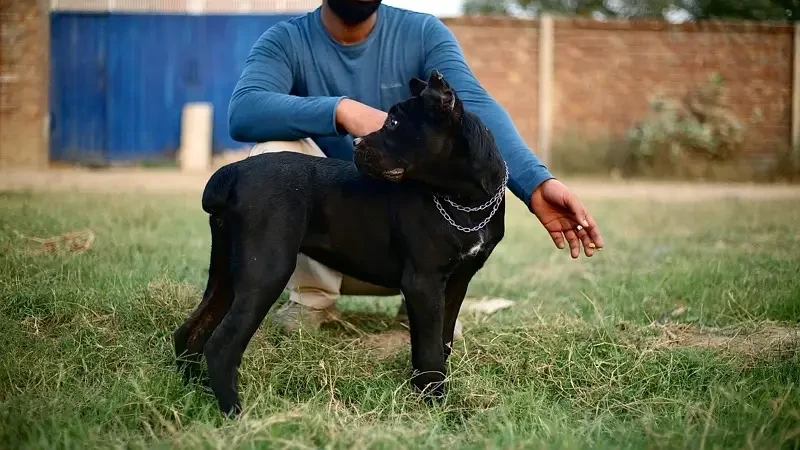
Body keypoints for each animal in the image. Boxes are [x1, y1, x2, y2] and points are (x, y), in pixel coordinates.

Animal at [173, 71, 506, 418]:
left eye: (394, 123)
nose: (357, 143)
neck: (463, 201)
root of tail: (232, 171)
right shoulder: (424, 283)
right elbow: (429, 348)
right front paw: (433, 402)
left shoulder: (455, 283)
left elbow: (442, 340)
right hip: (265, 271)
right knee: (221, 345)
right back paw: (236, 414)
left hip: (227, 272)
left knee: (190, 331)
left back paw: (194, 391)